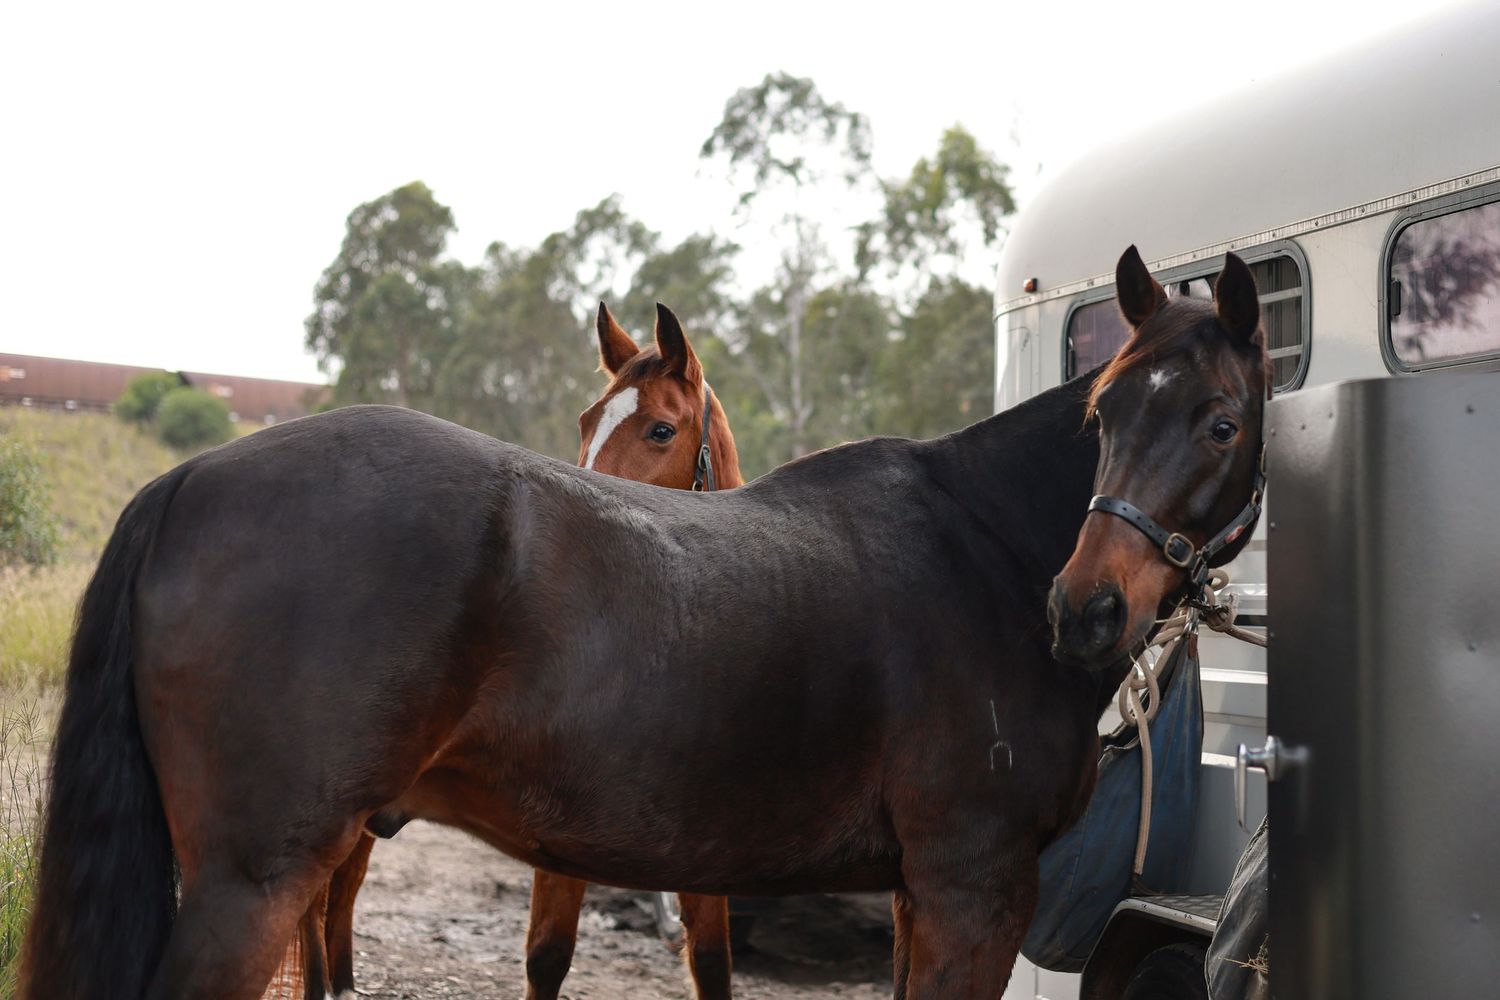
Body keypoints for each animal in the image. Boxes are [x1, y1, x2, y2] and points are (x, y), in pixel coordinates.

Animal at [21, 245, 1268, 1000]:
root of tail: (189, 480)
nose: (1085, 607)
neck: (981, 546)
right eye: (1103, 412)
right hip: (257, 878)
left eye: (1218, 421)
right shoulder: (975, 889)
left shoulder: (921, 894)